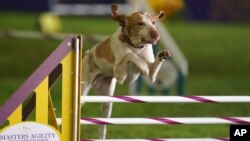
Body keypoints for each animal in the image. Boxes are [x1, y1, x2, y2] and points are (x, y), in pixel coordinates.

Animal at [81, 4, 171, 139]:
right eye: (140, 23)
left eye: (154, 23)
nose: (156, 34)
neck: (135, 47)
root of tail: (87, 54)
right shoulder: (120, 74)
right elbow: (130, 55)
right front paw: (142, 65)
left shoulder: (151, 75)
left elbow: (151, 68)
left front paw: (162, 55)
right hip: (83, 91)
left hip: (107, 102)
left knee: (102, 126)